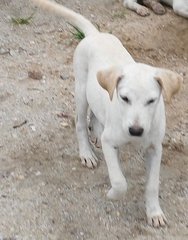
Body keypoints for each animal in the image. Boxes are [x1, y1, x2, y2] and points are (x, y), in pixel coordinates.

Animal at [32, 0, 182, 228]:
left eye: (151, 101)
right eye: (124, 98)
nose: (135, 131)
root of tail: (95, 34)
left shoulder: (155, 148)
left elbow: (153, 184)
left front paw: (154, 212)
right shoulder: (110, 142)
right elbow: (119, 181)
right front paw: (112, 193)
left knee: (96, 114)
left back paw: (95, 132)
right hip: (81, 91)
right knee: (80, 123)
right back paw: (86, 153)